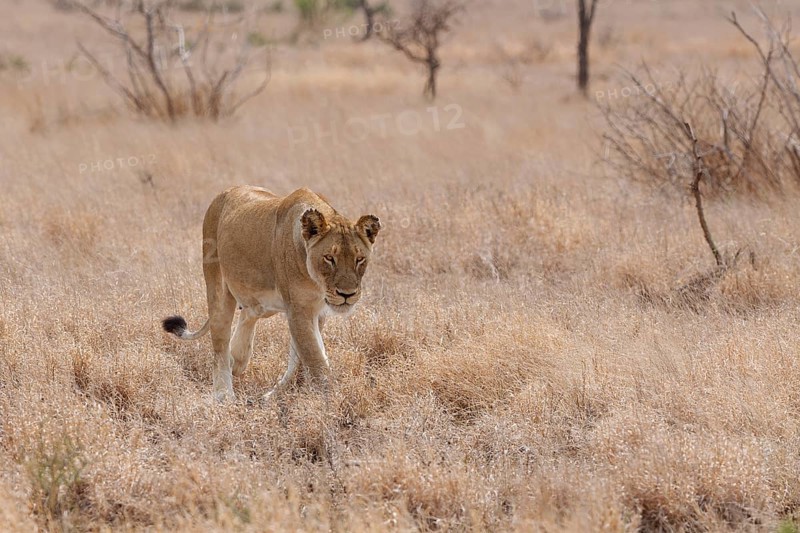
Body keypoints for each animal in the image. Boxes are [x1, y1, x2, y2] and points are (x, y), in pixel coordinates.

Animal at [162, 186, 381, 402]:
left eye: (359, 259)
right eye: (329, 258)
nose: (347, 294)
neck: (316, 283)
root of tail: (225, 192)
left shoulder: (317, 312)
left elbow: (301, 357)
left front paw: (277, 394)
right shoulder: (298, 309)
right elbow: (314, 357)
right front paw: (331, 399)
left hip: (262, 303)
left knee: (249, 314)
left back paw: (237, 359)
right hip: (217, 286)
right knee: (220, 342)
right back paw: (224, 394)